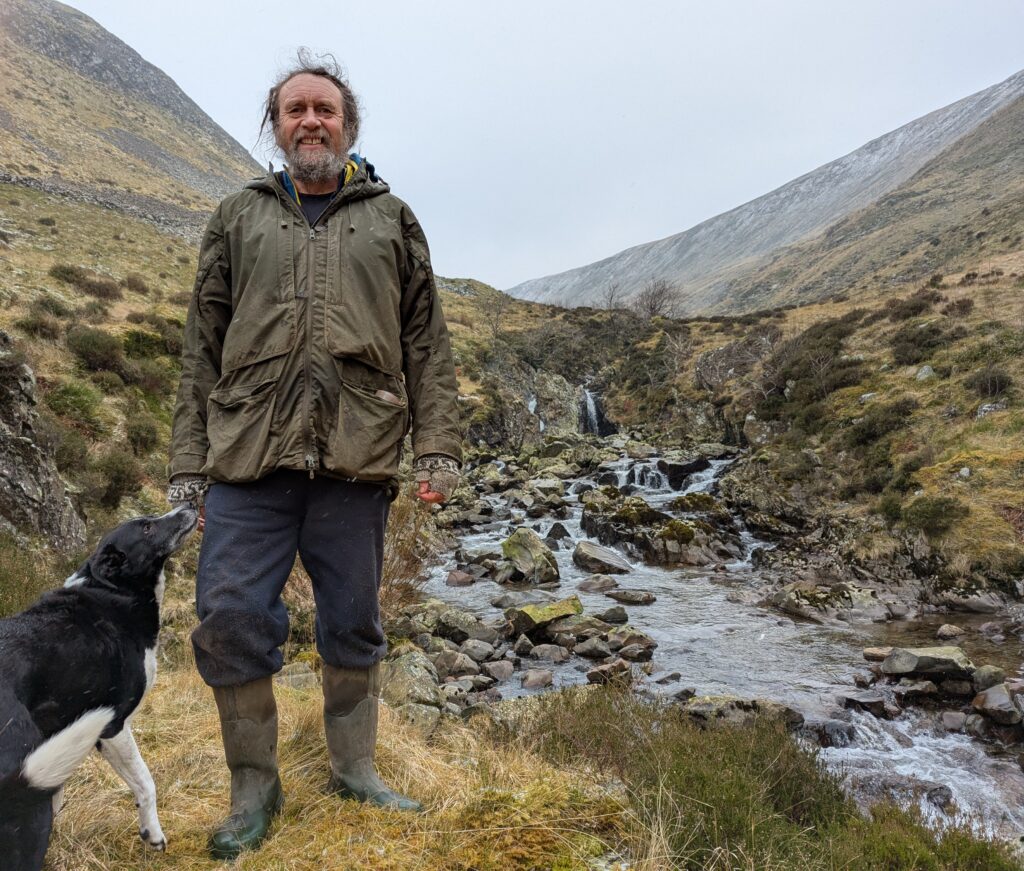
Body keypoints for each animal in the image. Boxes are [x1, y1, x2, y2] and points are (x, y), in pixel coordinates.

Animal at [0, 507, 196, 867]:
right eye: (147, 528)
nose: (187, 506)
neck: (114, 592)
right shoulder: (113, 727)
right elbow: (145, 782)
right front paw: (153, 833)